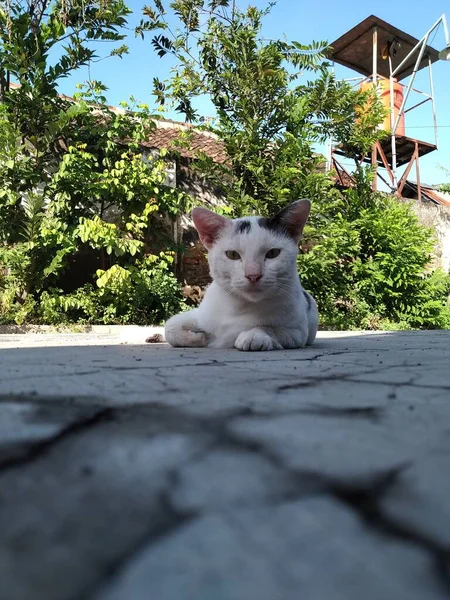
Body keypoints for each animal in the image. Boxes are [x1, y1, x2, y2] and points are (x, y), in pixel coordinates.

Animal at [163, 200, 318, 352]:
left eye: (273, 253)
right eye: (232, 255)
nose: (253, 275)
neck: (240, 307)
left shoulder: (297, 333)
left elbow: (271, 329)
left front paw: (254, 335)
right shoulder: (199, 314)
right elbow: (169, 327)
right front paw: (200, 337)